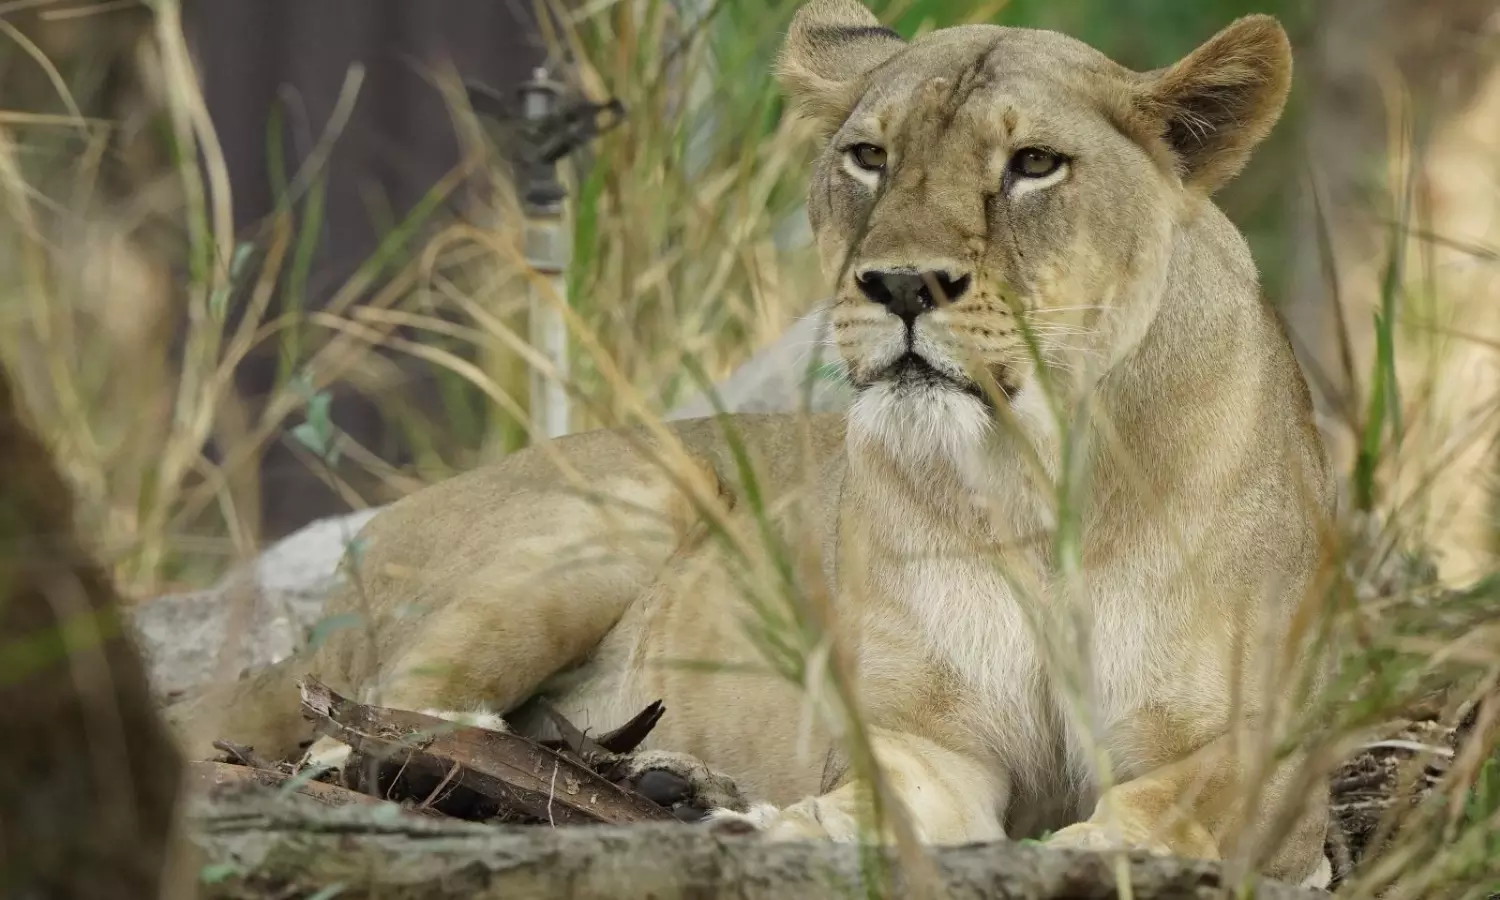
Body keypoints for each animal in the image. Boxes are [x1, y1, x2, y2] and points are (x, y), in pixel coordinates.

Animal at [167, 0, 1337, 888]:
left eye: (1035, 165)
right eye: (868, 157)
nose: (901, 285)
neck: (1033, 478)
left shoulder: (1270, 758)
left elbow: (1174, 806)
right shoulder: (923, 738)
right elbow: (886, 803)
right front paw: (789, 829)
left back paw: (663, 781)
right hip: (622, 506)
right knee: (368, 727)